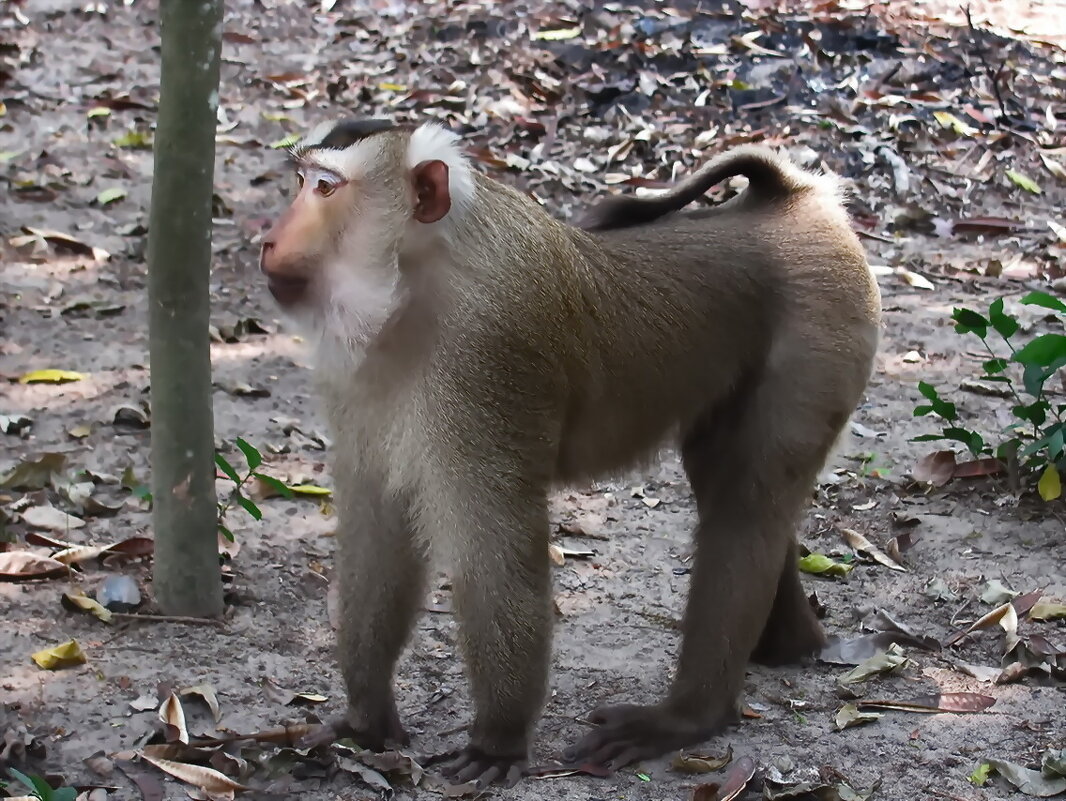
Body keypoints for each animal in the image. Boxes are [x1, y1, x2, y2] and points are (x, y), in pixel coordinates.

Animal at [257, 118, 882, 789]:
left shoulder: (486, 358)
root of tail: (795, 199)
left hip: (825, 328)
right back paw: (789, 643)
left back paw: (691, 716)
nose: (269, 239)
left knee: (746, 507)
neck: (415, 279)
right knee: (730, 486)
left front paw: (499, 740)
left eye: (325, 188)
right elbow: (378, 526)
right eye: (300, 180)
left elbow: (496, 546)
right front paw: (366, 716)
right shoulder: (357, 374)